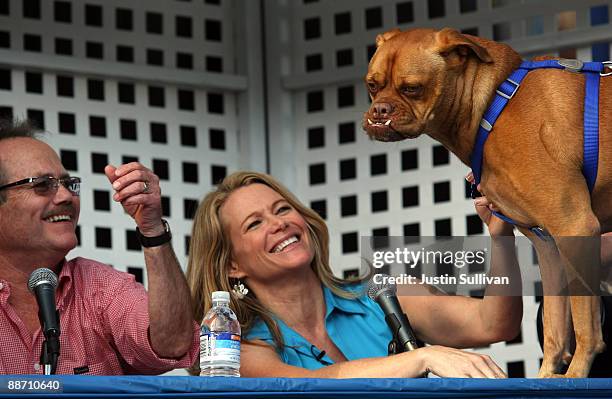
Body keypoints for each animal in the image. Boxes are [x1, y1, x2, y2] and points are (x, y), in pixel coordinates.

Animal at [366, 27, 608, 378]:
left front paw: (576, 374)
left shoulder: (574, 226)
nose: (379, 111)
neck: (495, 102)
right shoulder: (547, 245)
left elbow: (585, 323)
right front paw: (547, 376)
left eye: (412, 88)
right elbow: (554, 326)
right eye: (372, 85)